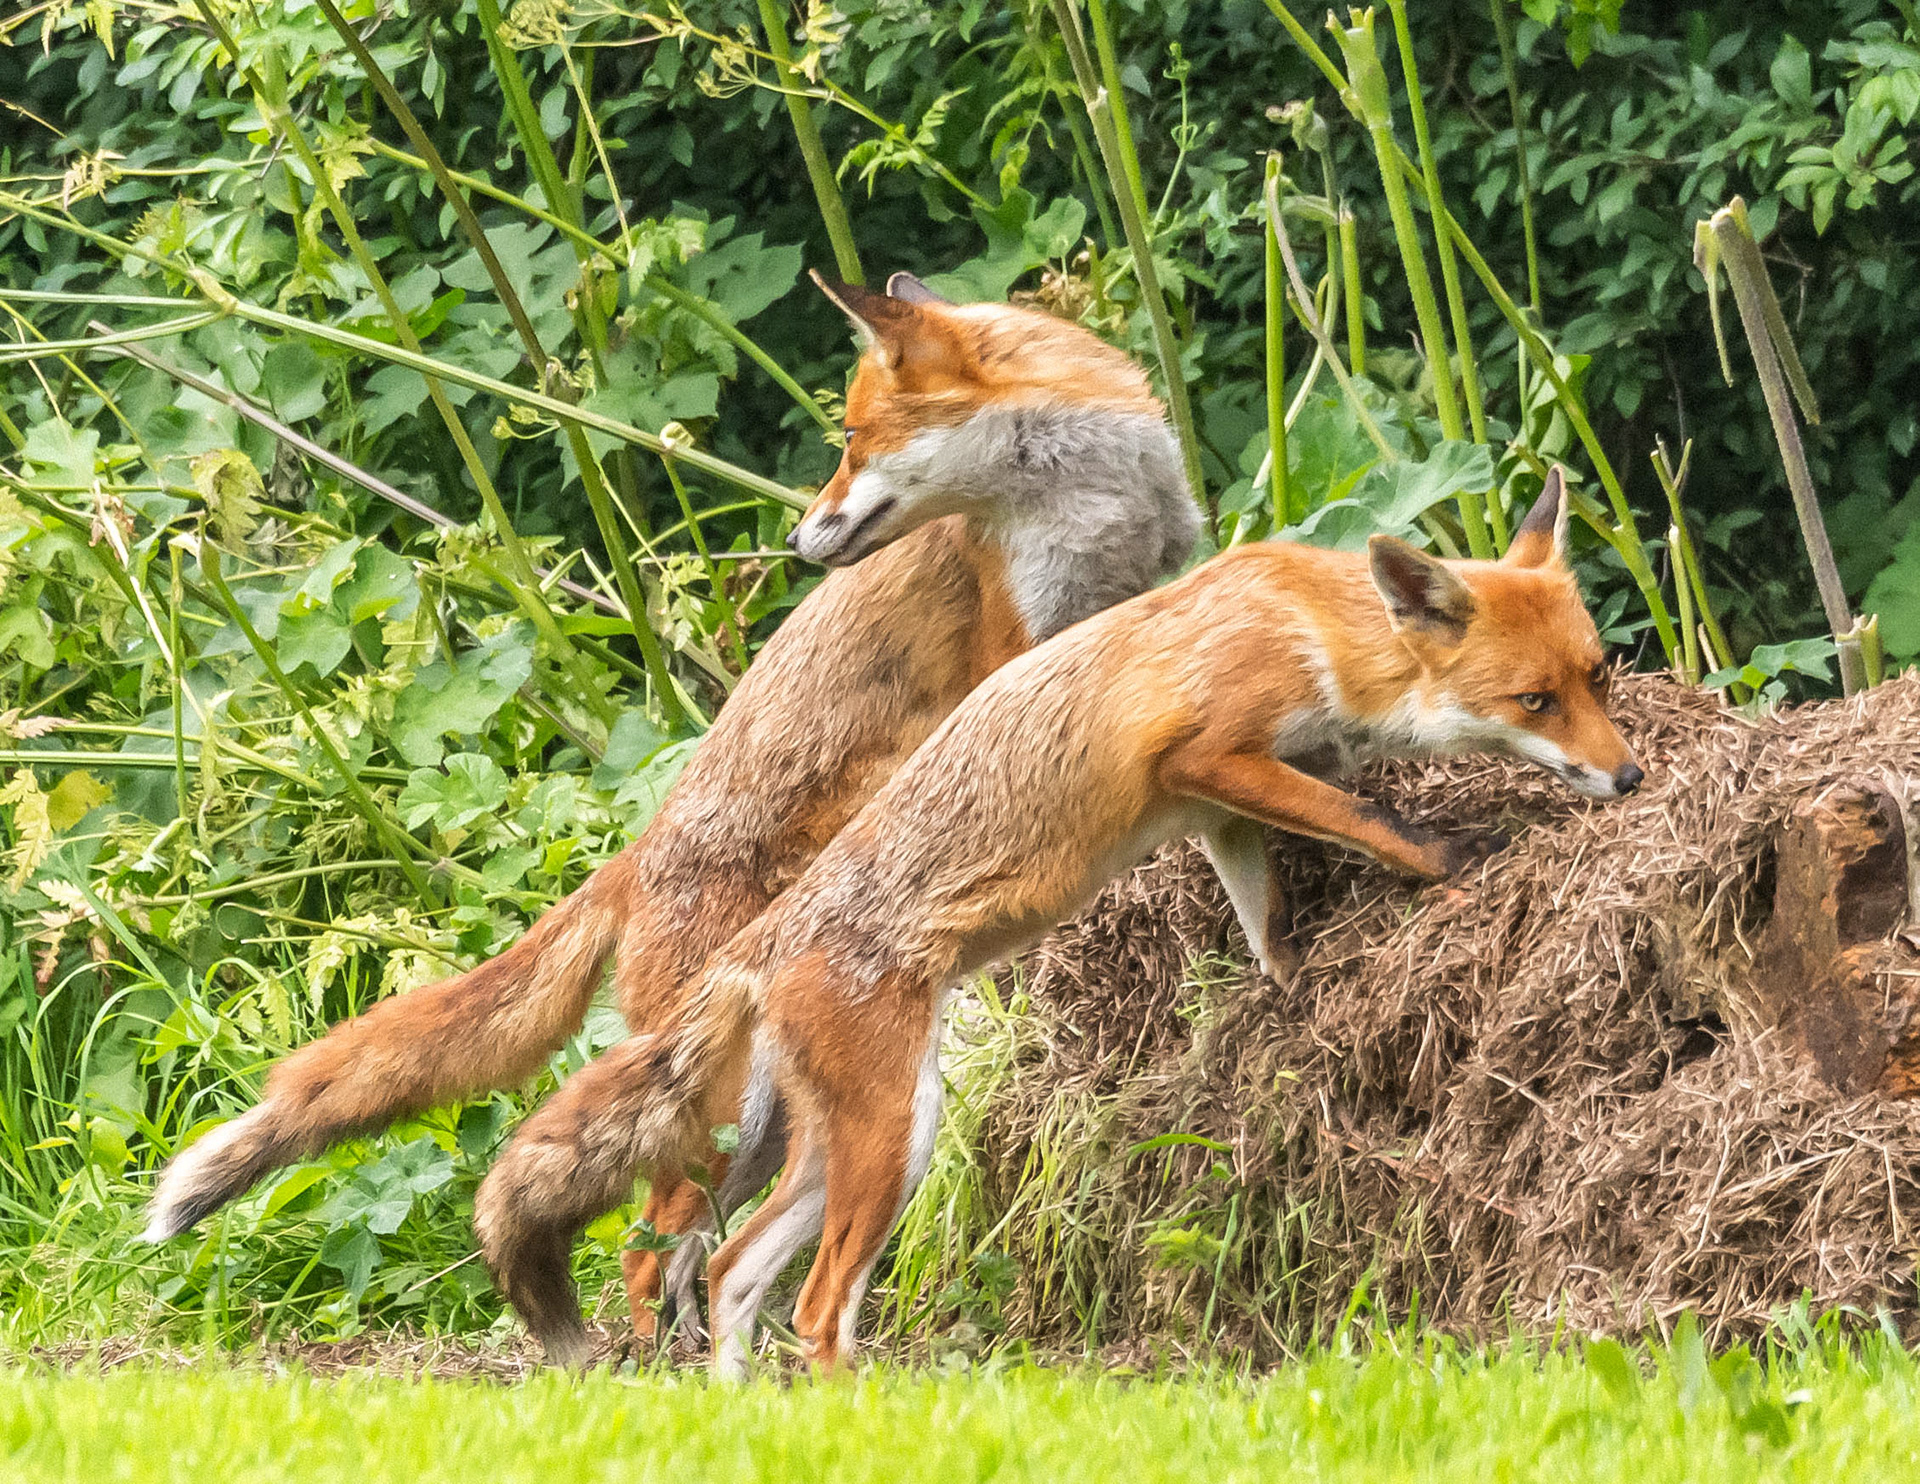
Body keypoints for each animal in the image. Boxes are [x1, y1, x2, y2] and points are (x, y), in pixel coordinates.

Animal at [142, 268, 1198, 1343]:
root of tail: (631, 862)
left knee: (693, 1247)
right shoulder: (1012, 645)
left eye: (854, 439)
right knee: (647, 1251)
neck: (1093, 500)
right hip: (725, 1112)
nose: (795, 536)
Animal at [472, 466, 1643, 1374]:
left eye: (1598, 675)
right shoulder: (1211, 756)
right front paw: (1449, 858)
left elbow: (1269, 923)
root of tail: (762, 940)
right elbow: (1366, 818)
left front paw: (1289, 993)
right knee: (813, 1304)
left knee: (728, 1273)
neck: (1315, 628)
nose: (1631, 778)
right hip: (892, 1136)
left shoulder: (1223, 812)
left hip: (824, 1145)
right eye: (1535, 702)